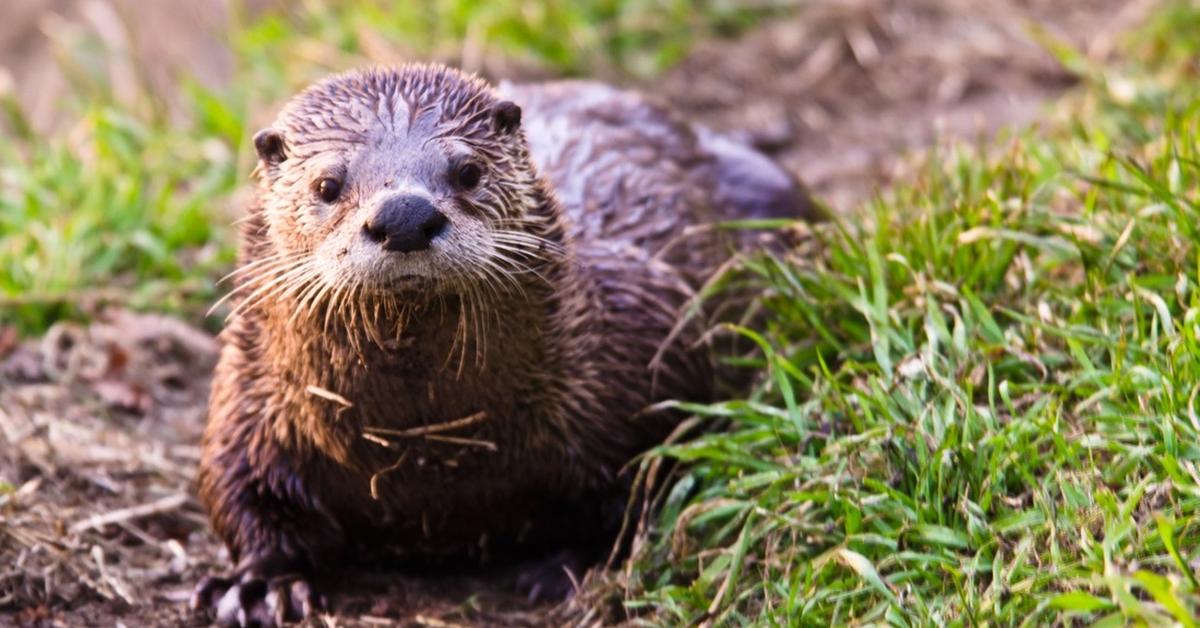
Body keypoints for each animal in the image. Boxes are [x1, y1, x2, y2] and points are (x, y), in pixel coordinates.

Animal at [192, 63, 811, 624]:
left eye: (468, 170)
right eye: (327, 184)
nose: (405, 214)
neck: (425, 447)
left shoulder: (649, 348)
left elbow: (642, 480)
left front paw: (570, 564)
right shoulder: (252, 402)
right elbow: (240, 492)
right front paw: (259, 585)